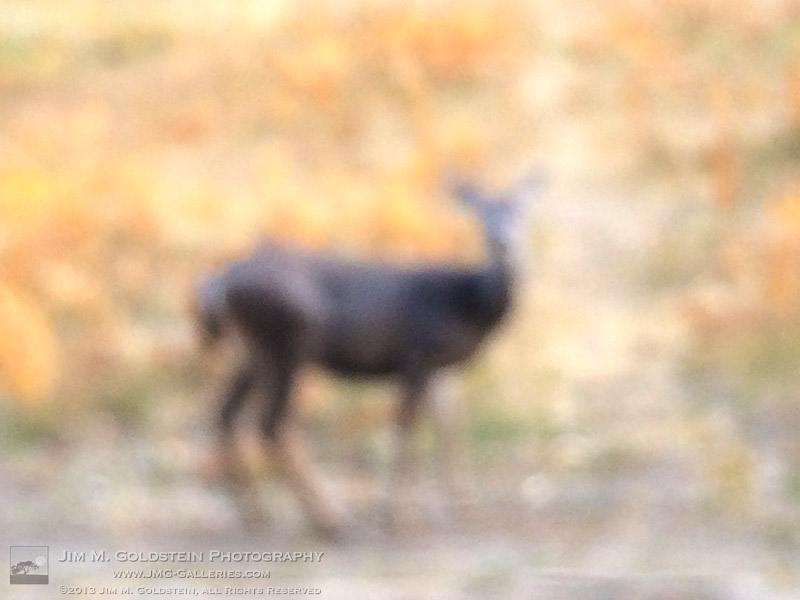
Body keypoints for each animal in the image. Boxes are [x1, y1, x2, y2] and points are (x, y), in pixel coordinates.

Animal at [194, 173, 544, 540]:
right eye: (482, 214)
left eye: (521, 212)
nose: (503, 241)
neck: (467, 304)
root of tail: (217, 283)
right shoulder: (415, 355)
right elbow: (407, 429)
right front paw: (396, 514)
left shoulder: (440, 370)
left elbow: (449, 426)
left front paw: (463, 505)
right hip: (285, 342)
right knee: (271, 423)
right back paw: (330, 520)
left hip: (249, 353)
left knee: (226, 414)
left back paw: (256, 514)